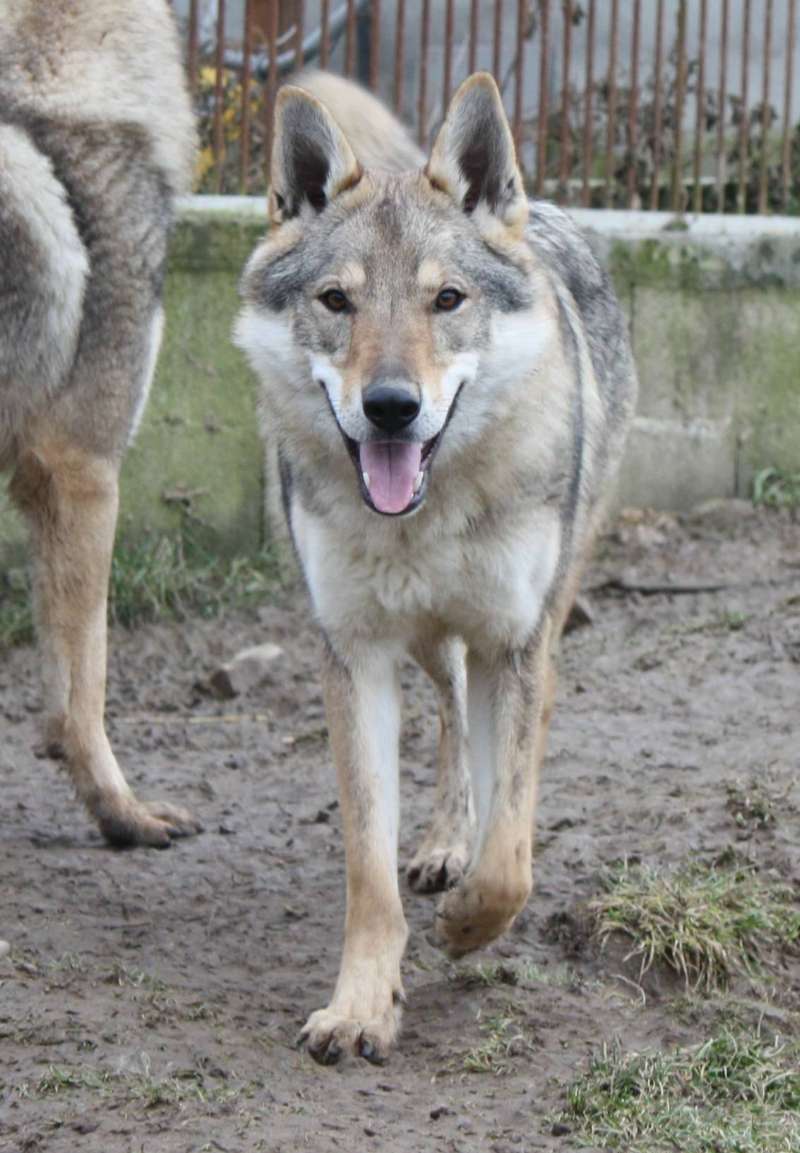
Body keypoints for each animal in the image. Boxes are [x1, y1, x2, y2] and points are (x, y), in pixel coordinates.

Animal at [235, 69, 636, 1060]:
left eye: (446, 300)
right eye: (336, 301)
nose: (390, 405)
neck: (428, 516)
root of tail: (546, 211)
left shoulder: (514, 642)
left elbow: (513, 854)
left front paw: (468, 922)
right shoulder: (355, 657)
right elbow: (370, 872)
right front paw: (360, 1007)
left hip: (539, 613)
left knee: (505, 746)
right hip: (425, 641)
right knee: (452, 716)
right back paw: (445, 841)